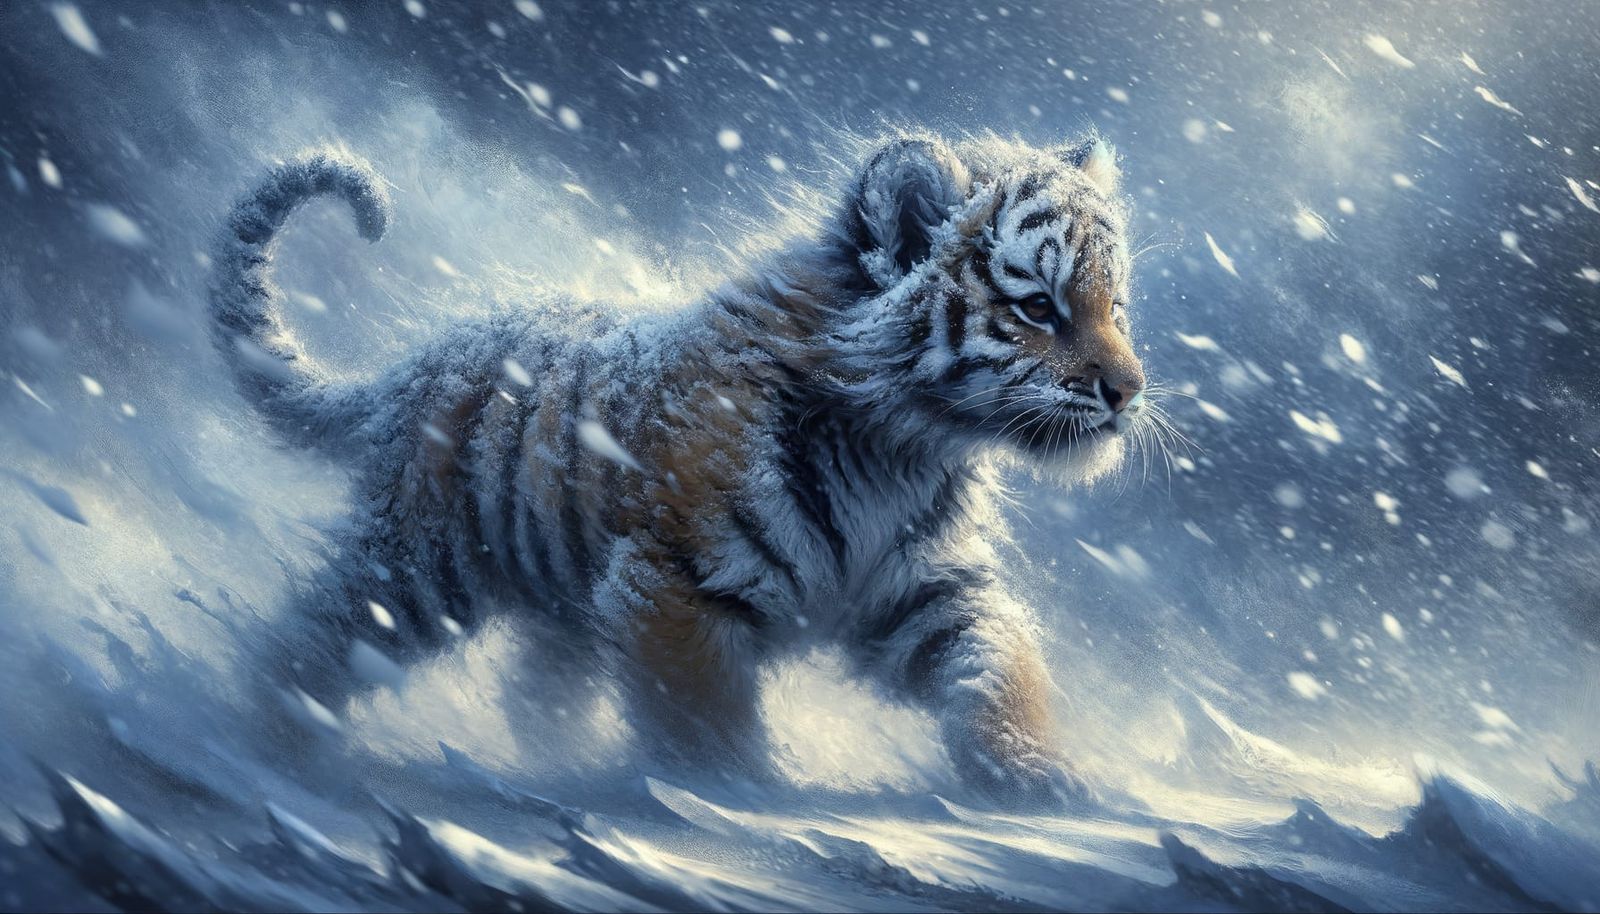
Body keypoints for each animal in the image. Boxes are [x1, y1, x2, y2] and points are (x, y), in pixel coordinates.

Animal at [210, 131, 1151, 807]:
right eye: (1038, 308)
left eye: (1116, 306)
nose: (1130, 392)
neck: (902, 448)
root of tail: (417, 366)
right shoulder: (670, 585)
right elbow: (702, 716)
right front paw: (740, 787)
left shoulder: (927, 591)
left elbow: (1002, 666)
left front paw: (1034, 773)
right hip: (416, 571)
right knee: (306, 642)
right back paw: (259, 740)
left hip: (558, 609)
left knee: (531, 692)